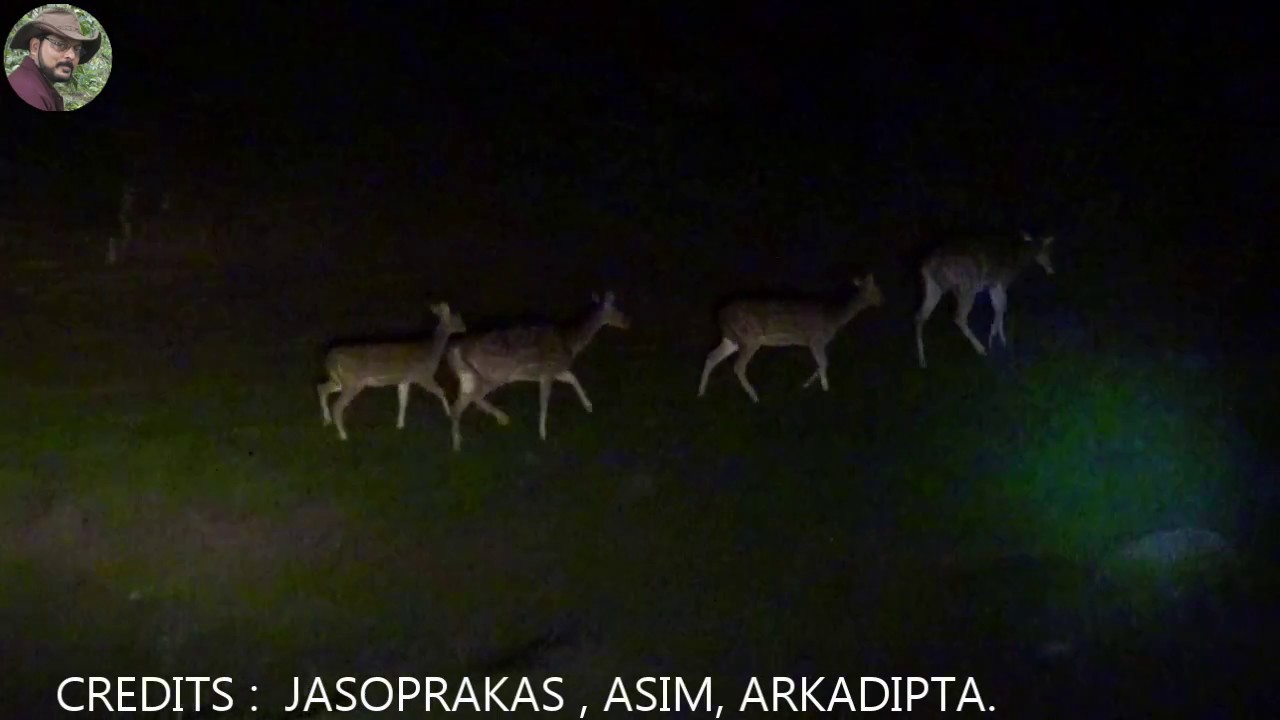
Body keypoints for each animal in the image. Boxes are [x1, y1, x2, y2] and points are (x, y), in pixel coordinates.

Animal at [317, 302, 467, 441]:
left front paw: (400, 425)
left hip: (339, 381)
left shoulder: (405, 381)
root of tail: (330, 359)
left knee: (321, 388)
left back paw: (327, 421)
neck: (431, 353)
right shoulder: (423, 376)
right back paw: (343, 435)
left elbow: (403, 401)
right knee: (337, 407)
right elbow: (441, 391)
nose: (464, 327)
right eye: (457, 318)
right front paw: (449, 413)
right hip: (352, 382)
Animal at [446, 292, 630, 452]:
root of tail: (455, 349)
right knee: (468, 400)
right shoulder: (548, 371)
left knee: (462, 402)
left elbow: (572, 377)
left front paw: (589, 406)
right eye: (617, 309)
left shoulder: (555, 370)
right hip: (492, 374)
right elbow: (544, 401)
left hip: (468, 376)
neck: (570, 342)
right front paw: (543, 434)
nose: (627, 321)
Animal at [697, 273, 884, 402]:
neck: (835, 319)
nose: (882, 301)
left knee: (712, 356)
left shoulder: (815, 343)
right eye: (876, 290)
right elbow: (824, 363)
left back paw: (701, 392)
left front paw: (807, 386)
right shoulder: (816, 339)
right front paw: (825, 388)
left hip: (733, 339)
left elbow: (821, 364)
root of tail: (720, 315)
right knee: (738, 366)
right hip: (749, 338)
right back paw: (755, 397)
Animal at [914, 231, 1055, 369]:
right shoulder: (1001, 282)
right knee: (958, 316)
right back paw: (981, 349)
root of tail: (927, 266)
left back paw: (922, 360)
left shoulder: (993, 285)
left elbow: (998, 307)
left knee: (920, 317)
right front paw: (998, 340)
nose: (1051, 270)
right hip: (966, 287)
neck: (1020, 258)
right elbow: (1001, 308)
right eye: (1046, 251)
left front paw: (996, 339)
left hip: (933, 288)